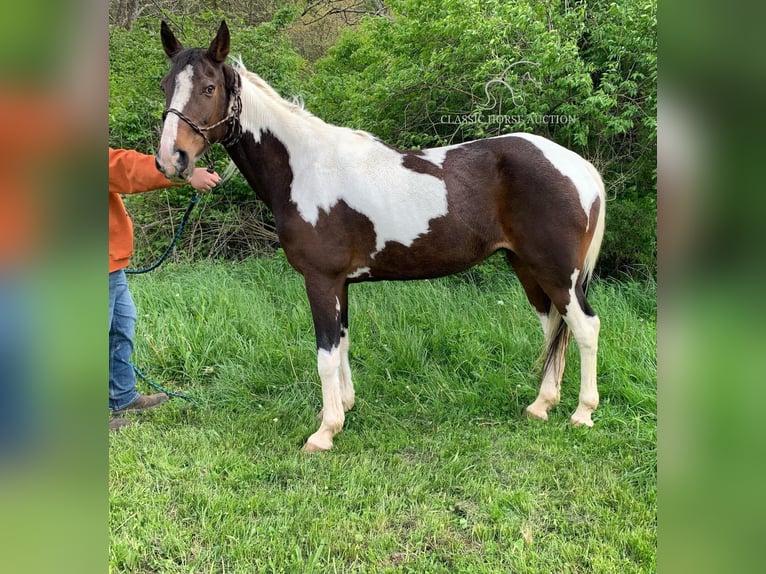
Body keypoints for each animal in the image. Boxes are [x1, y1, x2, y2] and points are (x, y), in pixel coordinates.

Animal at [156, 21, 608, 454]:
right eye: (166, 85)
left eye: (209, 87)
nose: (170, 159)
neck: (305, 168)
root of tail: (578, 166)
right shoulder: (340, 283)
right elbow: (341, 345)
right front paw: (345, 407)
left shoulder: (320, 280)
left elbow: (325, 355)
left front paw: (324, 432)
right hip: (527, 267)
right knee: (553, 325)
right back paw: (541, 405)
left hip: (557, 273)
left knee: (585, 327)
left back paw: (583, 413)